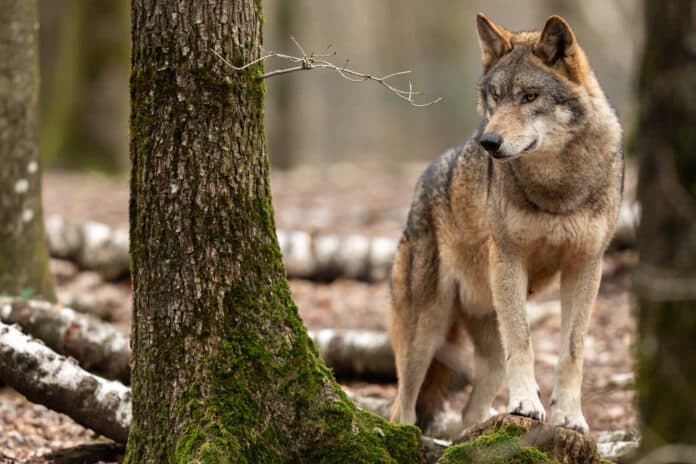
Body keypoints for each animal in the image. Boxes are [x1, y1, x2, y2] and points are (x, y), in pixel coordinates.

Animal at [389, 13, 623, 434]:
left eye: (529, 97)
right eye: (495, 98)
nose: (489, 141)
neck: (558, 187)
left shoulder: (585, 265)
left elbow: (572, 351)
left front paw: (569, 416)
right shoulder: (509, 258)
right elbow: (523, 342)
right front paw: (527, 404)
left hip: (484, 344)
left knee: (470, 413)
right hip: (425, 334)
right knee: (402, 408)